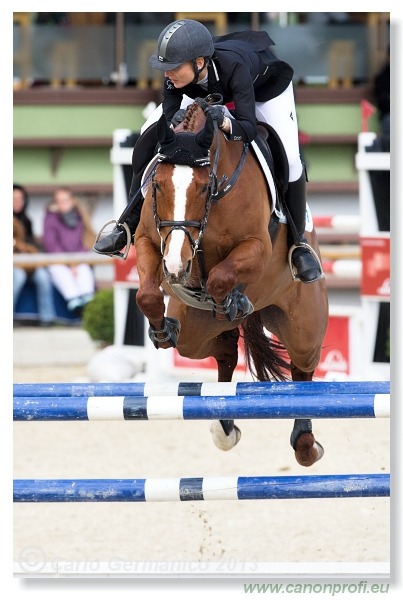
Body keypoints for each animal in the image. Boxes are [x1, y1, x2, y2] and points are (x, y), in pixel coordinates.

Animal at [134, 96, 330, 466]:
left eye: (203, 187)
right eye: (158, 184)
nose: (176, 266)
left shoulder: (257, 247)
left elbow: (221, 277)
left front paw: (231, 300)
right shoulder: (149, 242)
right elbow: (147, 295)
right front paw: (161, 330)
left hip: (305, 328)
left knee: (302, 372)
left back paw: (307, 444)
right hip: (195, 335)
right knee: (223, 350)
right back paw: (224, 425)